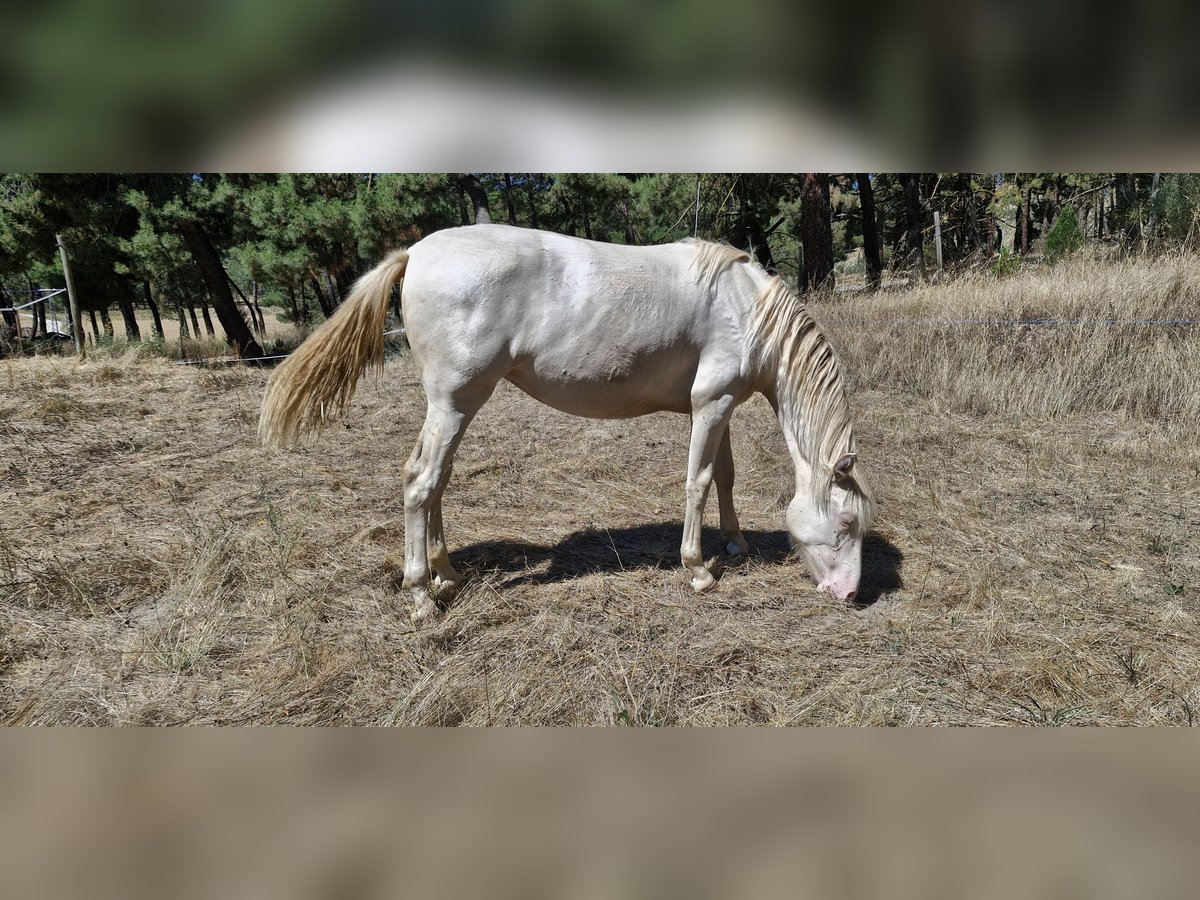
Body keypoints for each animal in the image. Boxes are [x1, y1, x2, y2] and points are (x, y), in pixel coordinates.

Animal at [260, 225, 874, 622]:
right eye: (846, 524)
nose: (849, 595)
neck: (745, 308)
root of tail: (415, 252)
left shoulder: (717, 407)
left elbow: (723, 476)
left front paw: (737, 543)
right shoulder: (712, 403)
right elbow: (697, 483)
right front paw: (698, 569)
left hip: (456, 409)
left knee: (437, 484)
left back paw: (447, 575)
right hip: (455, 402)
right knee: (420, 483)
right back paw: (420, 598)